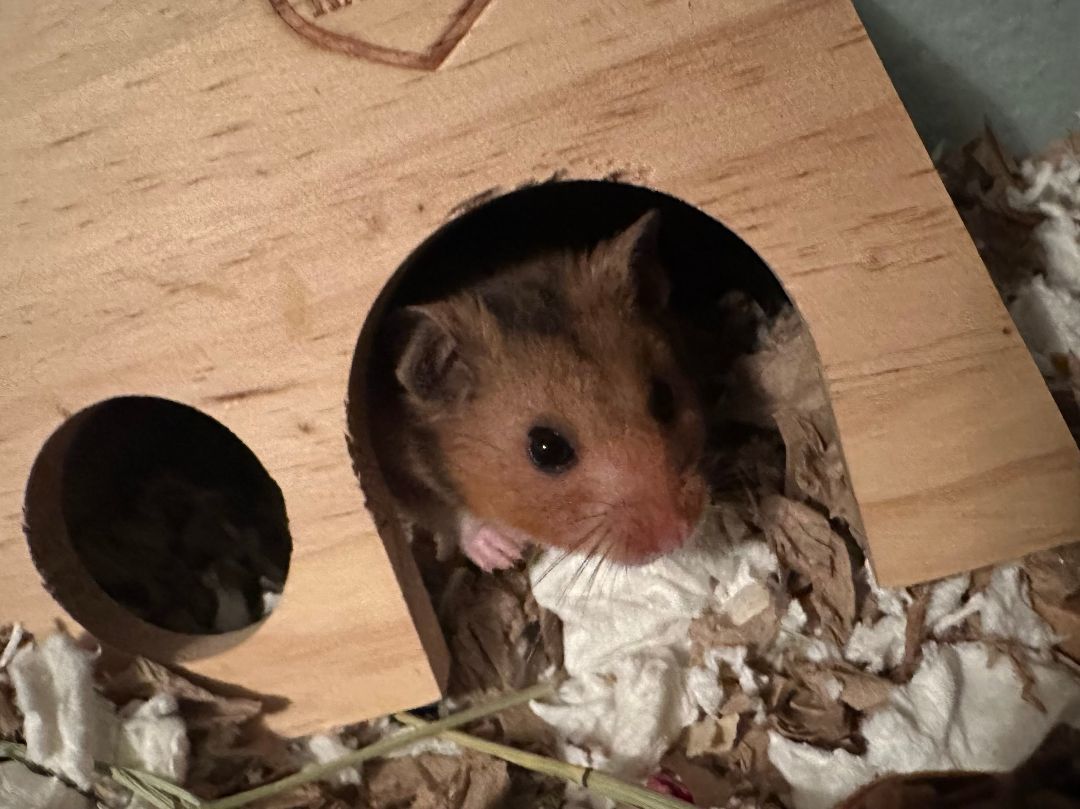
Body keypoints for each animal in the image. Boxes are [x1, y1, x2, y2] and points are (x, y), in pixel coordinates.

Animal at [369, 210, 709, 571]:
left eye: (664, 398)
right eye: (547, 449)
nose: (677, 535)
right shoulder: (395, 465)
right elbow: (446, 511)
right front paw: (504, 554)